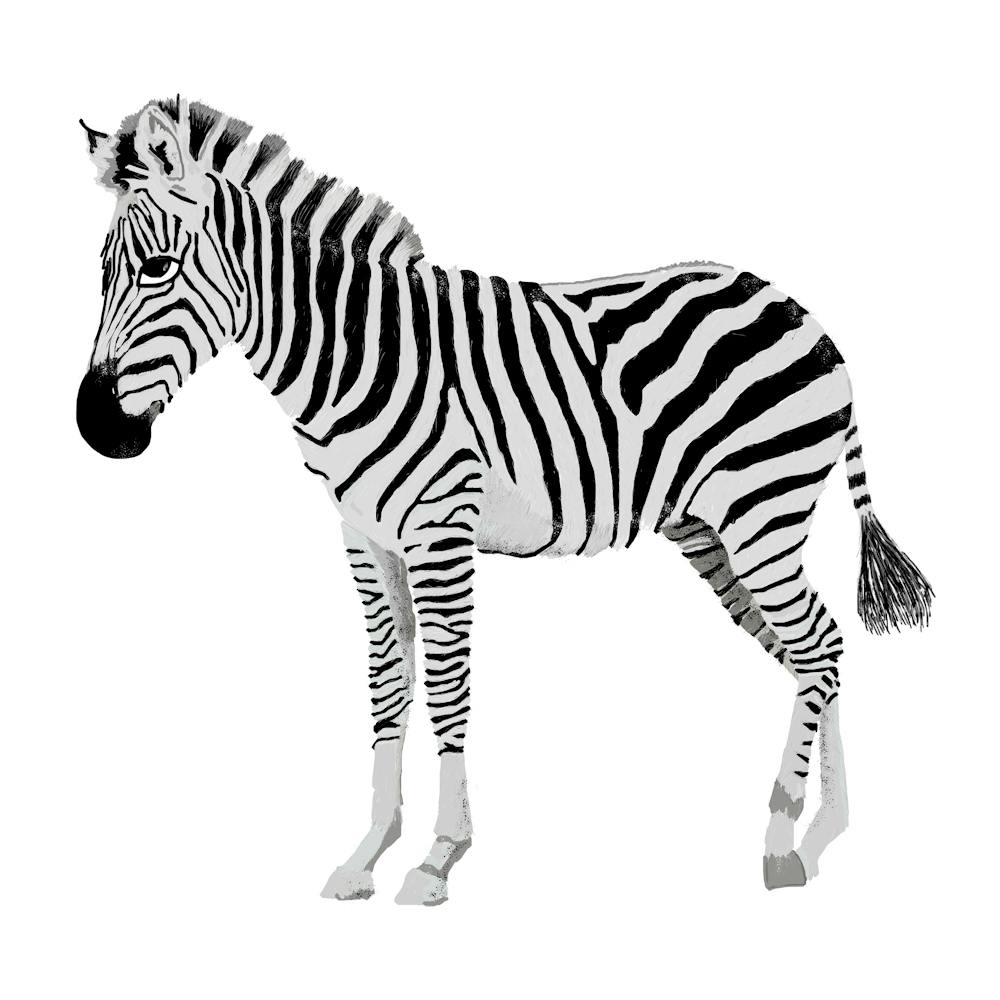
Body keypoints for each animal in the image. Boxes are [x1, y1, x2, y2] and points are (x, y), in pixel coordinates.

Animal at [77, 98, 932, 903]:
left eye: (156, 268)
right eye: (101, 270)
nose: (96, 428)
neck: (356, 355)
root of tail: (803, 313)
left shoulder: (440, 531)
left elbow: (447, 688)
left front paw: (437, 858)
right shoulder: (366, 539)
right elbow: (387, 686)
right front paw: (366, 854)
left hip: (761, 514)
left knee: (816, 647)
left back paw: (783, 839)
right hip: (714, 531)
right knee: (816, 652)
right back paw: (822, 834)